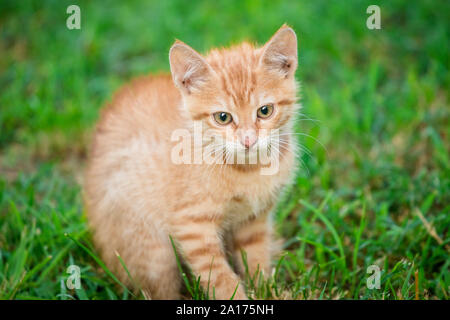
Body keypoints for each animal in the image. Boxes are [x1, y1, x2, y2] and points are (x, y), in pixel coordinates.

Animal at [84, 25, 298, 300]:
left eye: (265, 111)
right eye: (222, 117)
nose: (248, 140)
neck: (247, 169)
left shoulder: (255, 220)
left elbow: (256, 257)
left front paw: (266, 289)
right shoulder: (193, 226)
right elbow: (218, 275)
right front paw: (237, 297)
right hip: (150, 247)